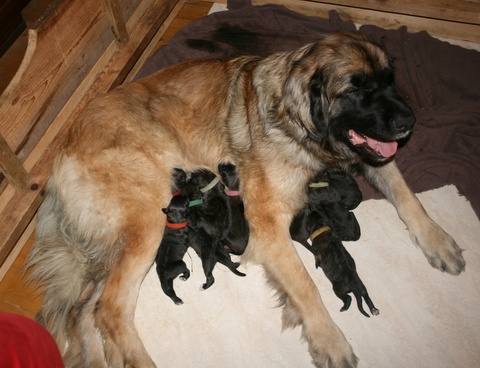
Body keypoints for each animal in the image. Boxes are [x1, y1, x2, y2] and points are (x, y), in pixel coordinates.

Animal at [26, 33, 464, 366]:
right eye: (355, 88)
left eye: (389, 80)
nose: (408, 121)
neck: (297, 120)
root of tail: (60, 155)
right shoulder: (267, 224)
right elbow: (305, 286)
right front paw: (330, 339)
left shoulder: (372, 155)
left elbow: (406, 194)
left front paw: (438, 240)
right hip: (149, 217)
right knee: (111, 309)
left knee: (86, 312)